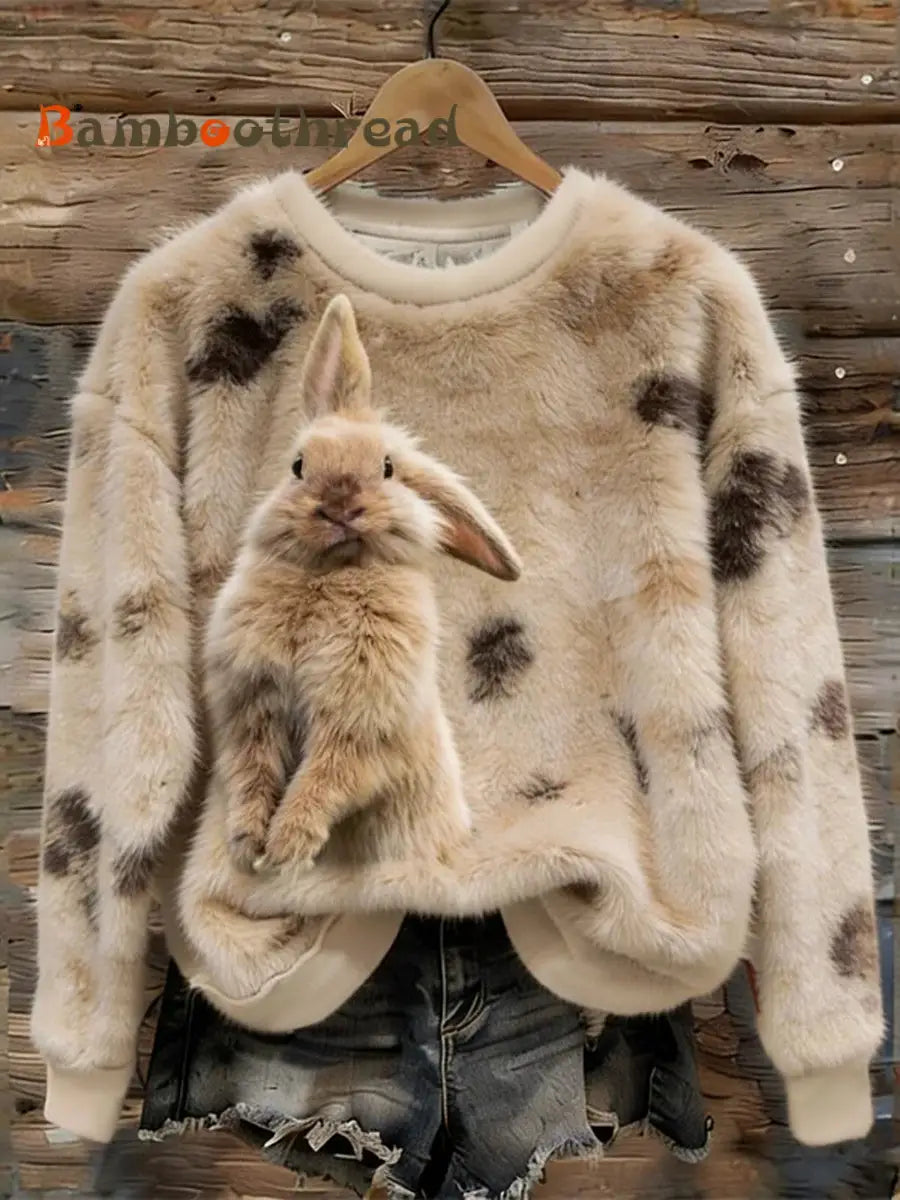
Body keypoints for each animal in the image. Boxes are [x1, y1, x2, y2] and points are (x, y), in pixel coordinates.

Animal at [204, 293, 523, 875]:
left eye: (388, 467)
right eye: (298, 465)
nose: (340, 505)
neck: (331, 575)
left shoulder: (359, 723)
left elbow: (325, 778)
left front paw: (287, 848)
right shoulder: (253, 707)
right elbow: (252, 772)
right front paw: (247, 845)